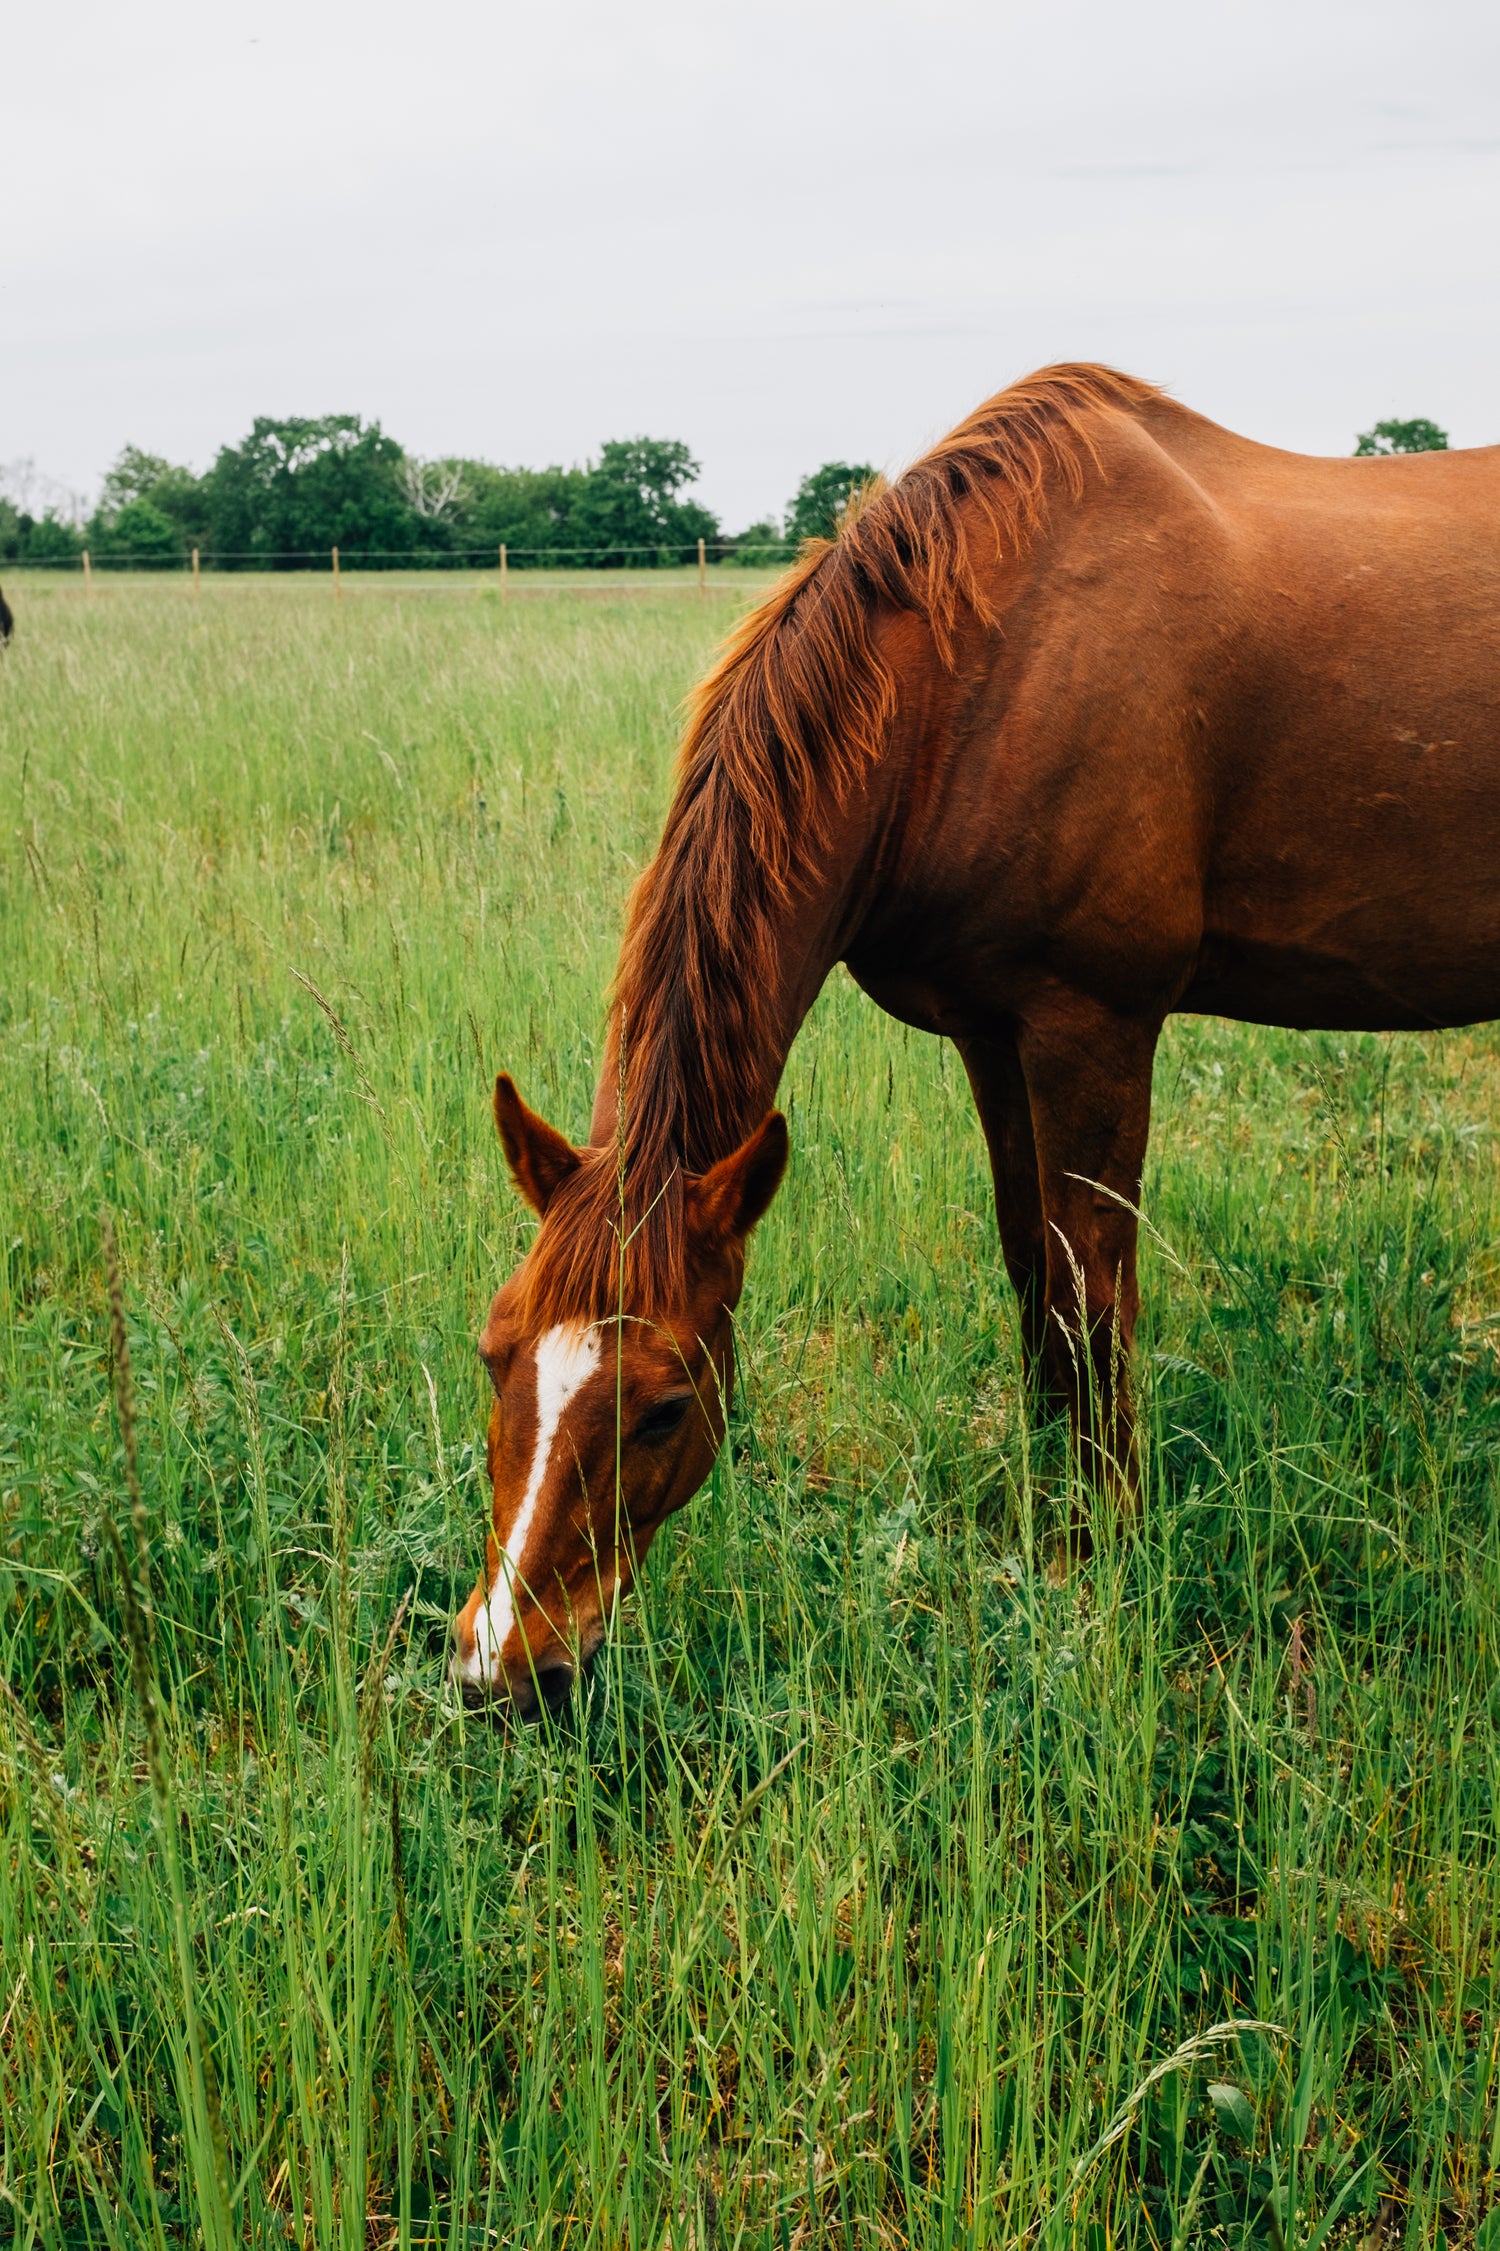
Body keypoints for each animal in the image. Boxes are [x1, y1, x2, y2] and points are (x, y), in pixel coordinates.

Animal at [450, 364, 1495, 1701]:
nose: (501, 1668)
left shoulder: (1092, 1025)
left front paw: (1105, 1548)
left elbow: (1093, 1292)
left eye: (668, 1403)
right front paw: (1053, 1513)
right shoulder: (992, 1034)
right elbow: (1033, 1273)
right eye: (497, 1353)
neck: (980, 671)